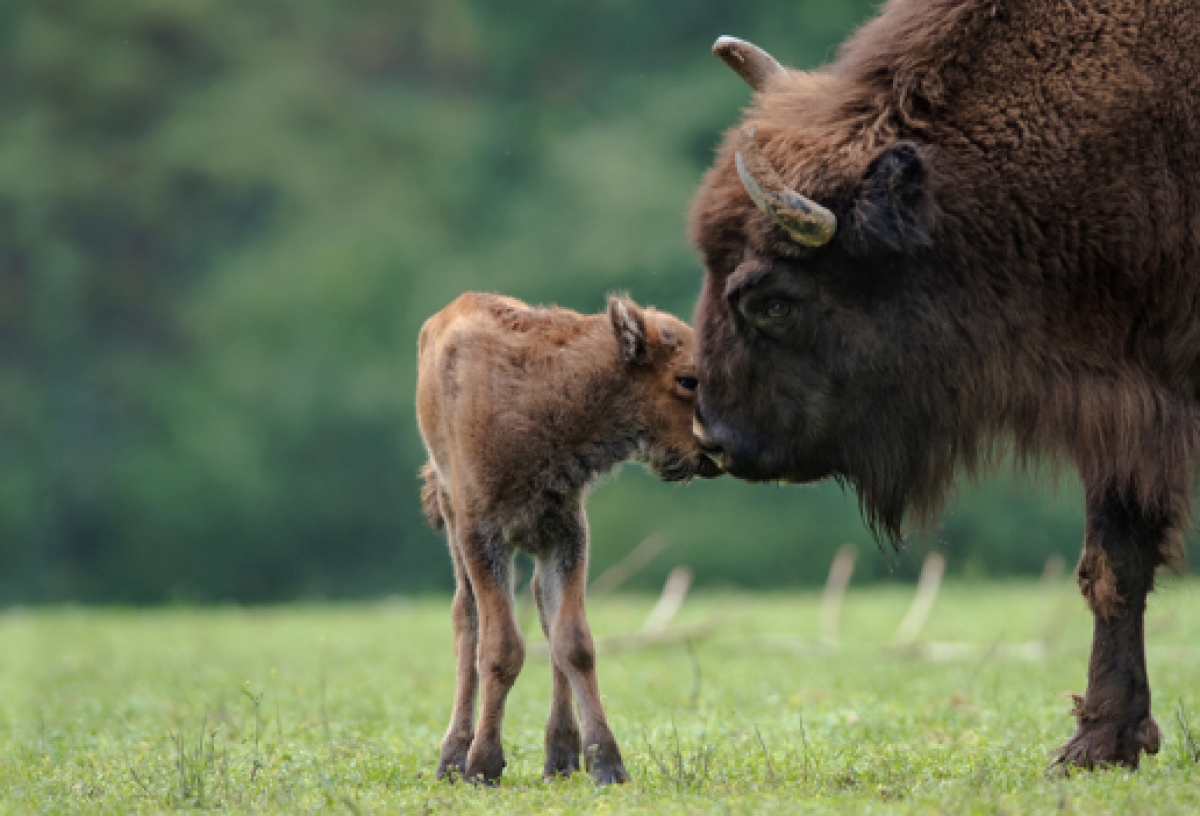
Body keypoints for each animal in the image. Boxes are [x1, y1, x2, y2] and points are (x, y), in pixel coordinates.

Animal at [417, 292, 715, 782]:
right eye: (687, 379)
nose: (715, 449)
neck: (546, 389)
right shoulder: (482, 534)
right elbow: (500, 648)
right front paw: (483, 765)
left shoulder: (566, 532)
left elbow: (574, 643)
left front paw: (607, 763)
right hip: (452, 515)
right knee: (467, 617)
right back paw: (453, 755)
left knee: (542, 608)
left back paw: (560, 756)